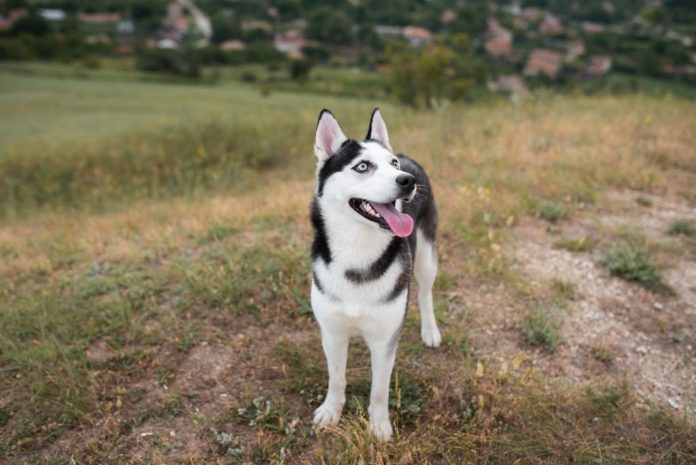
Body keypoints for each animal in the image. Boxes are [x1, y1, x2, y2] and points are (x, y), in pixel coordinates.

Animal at [310, 108, 440, 438]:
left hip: (426, 256)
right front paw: (331, 411)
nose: (407, 180)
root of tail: (406, 154)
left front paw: (379, 425)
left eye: (391, 165)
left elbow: (379, 390)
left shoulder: (384, 340)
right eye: (363, 166)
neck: (358, 251)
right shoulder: (332, 332)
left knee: (425, 291)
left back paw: (430, 330)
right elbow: (336, 378)